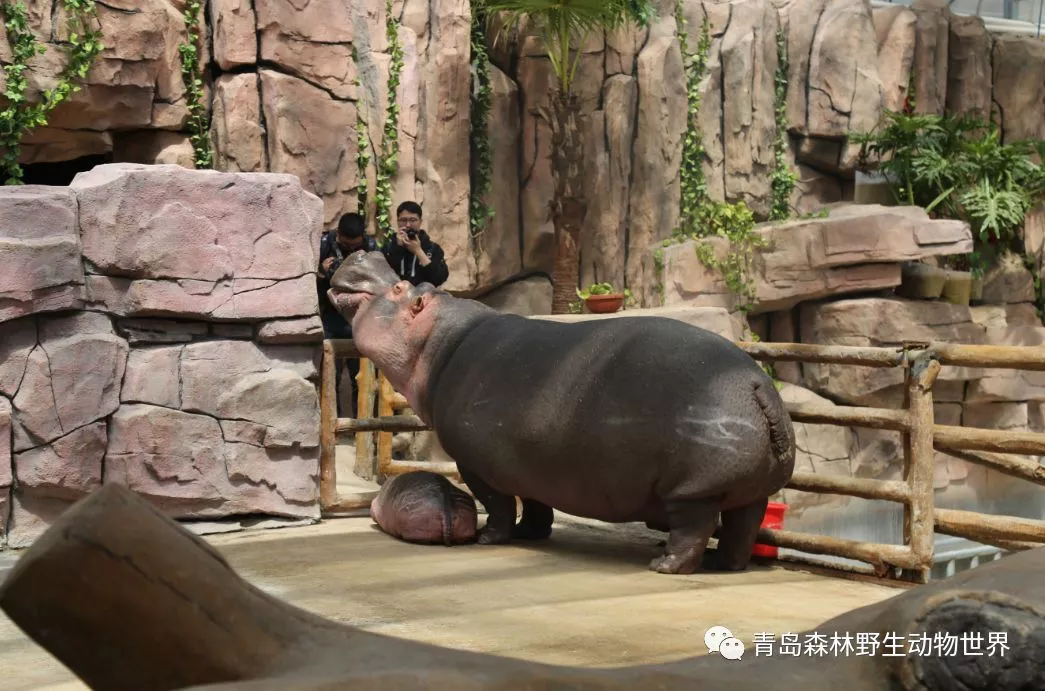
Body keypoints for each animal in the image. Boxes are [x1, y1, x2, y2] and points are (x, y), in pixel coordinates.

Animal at [329, 251, 796, 574]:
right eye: (415, 280)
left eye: (401, 288)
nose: (363, 252)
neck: (437, 343)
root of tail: (758, 386)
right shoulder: (530, 461)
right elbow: (536, 505)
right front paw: (531, 534)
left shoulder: (476, 464)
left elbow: (499, 505)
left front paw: (490, 538)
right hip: (751, 489)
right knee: (741, 527)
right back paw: (722, 564)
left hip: (692, 489)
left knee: (693, 528)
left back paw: (664, 566)